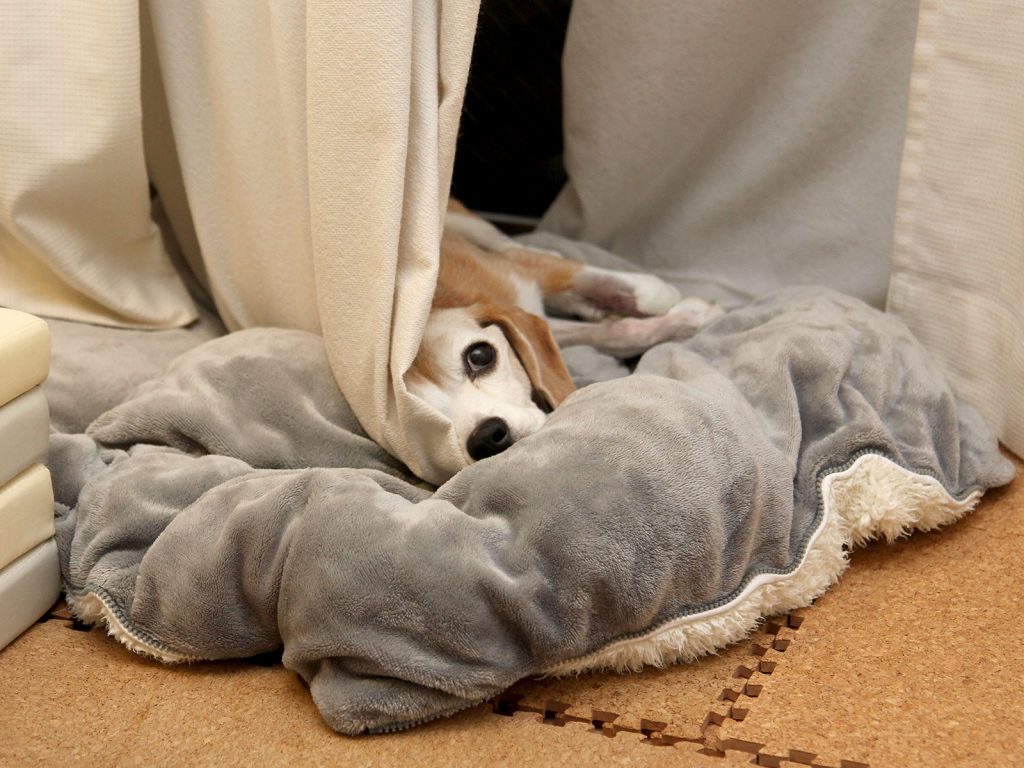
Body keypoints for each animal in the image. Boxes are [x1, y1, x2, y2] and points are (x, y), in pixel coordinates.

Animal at [407, 201, 720, 466]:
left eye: (481, 355)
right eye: (418, 420)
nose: (486, 437)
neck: (439, 298)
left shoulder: (519, 275)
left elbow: (653, 292)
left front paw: (694, 311)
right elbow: (617, 333)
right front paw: (688, 317)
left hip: (465, 222)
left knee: (511, 245)